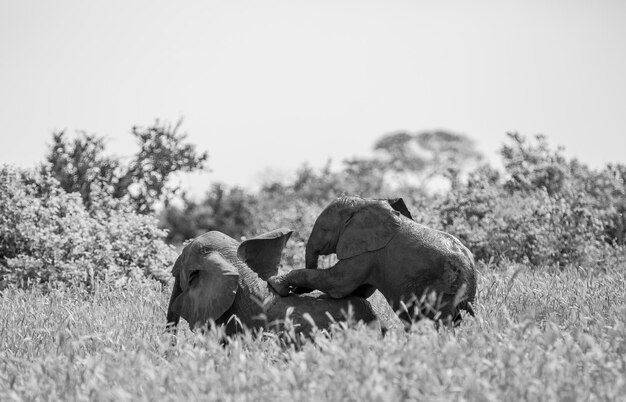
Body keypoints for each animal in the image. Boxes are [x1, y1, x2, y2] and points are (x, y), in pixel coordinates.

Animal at [266, 196, 476, 326]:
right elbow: (359, 291)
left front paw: (276, 284)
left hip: (441, 288)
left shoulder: (366, 254)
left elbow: (337, 284)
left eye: (324, 229)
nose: (295, 291)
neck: (364, 203)